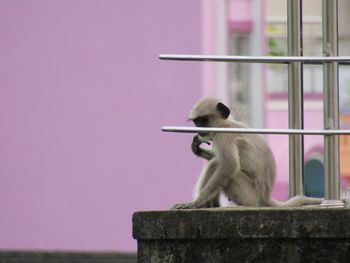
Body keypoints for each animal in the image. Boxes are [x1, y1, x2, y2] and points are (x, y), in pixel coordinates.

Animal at [171, 97, 322, 210]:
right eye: (197, 122)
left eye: (204, 120)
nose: (200, 129)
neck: (226, 125)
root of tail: (266, 196)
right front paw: (197, 149)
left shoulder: (223, 136)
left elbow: (229, 165)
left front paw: (195, 203)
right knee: (216, 162)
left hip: (249, 195)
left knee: (218, 166)